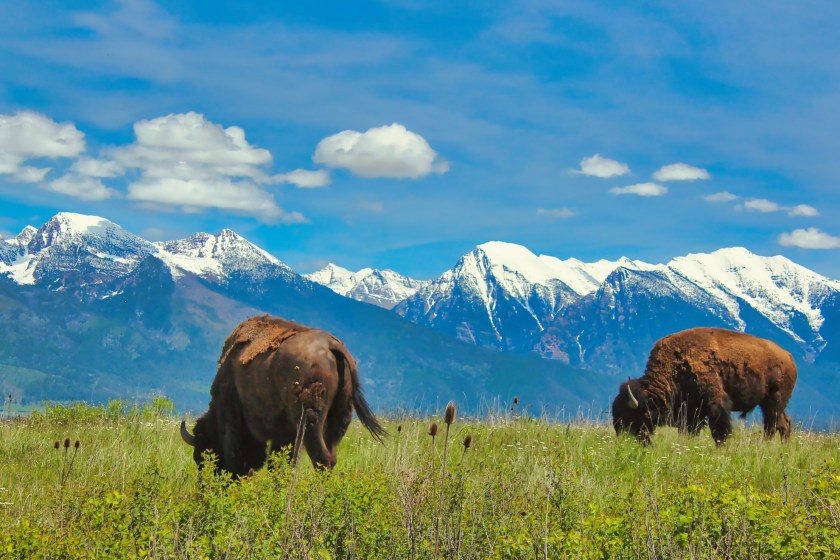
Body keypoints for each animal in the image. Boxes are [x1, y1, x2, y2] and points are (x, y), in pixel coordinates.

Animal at [180, 315, 386, 475]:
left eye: (202, 456)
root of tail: (332, 346)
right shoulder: (283, 435)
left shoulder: (231, 421)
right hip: (340, 417)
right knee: (331, 456)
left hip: (310, 421)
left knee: (321, 458)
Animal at [612, 327, 797, 444]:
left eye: (632, 417)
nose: (621, 437)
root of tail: (788, 357)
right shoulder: (690, 410)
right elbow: (689, 430)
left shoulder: (715, 403)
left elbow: (720, 430)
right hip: (770, 403)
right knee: (784, 423)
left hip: (773, 401)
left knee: (772, 425)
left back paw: (765, 446)